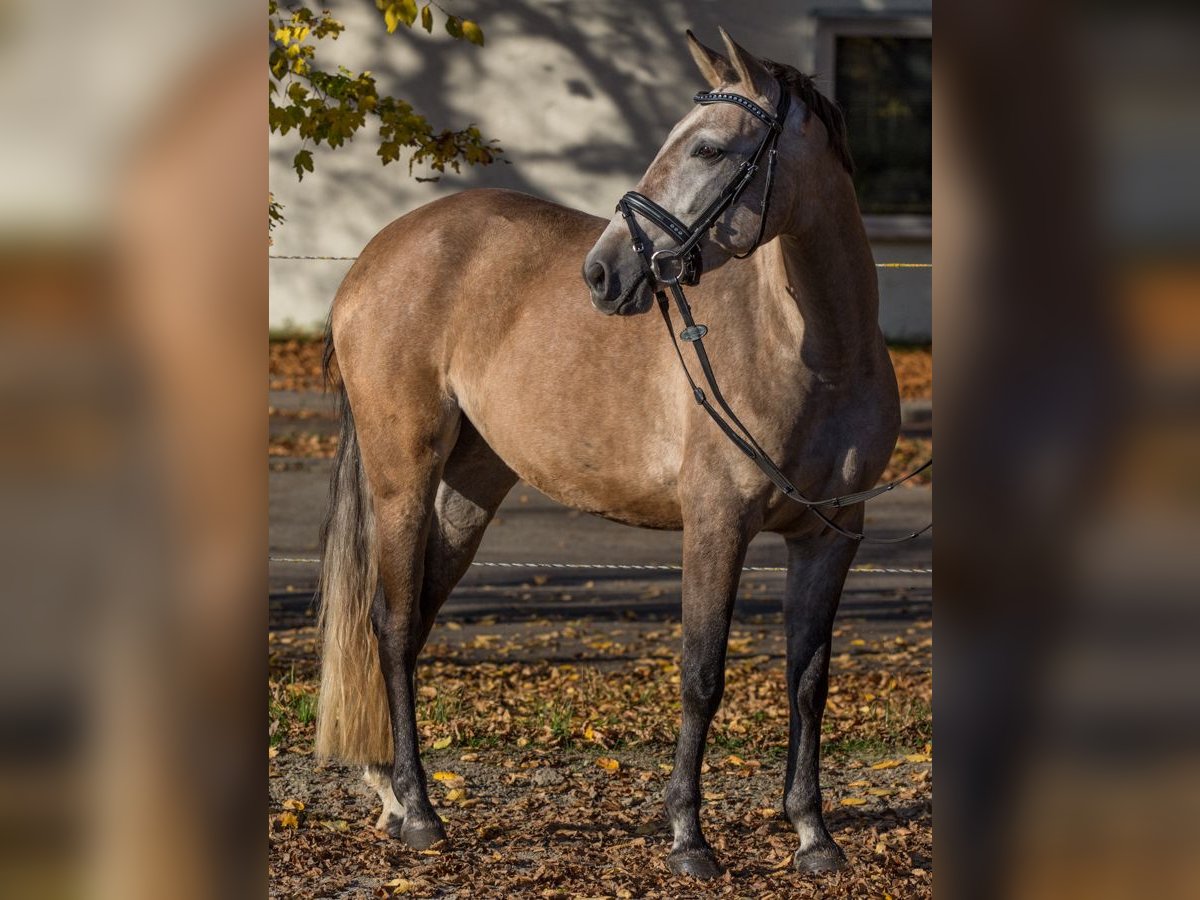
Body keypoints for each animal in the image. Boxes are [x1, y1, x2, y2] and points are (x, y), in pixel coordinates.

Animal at [314, 26, 902, 883]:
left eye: (711, 149)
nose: (603, 271)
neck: (816, 352)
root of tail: (379, 253)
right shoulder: (717, 526)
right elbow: (701, 676)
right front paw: (689, 838)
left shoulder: (832, 536)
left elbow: (808, 680)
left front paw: (813, 835)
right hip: (403, 478)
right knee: (389, 627)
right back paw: (420, 813)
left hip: (469, 490)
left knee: (414, 623)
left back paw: (393, 795)